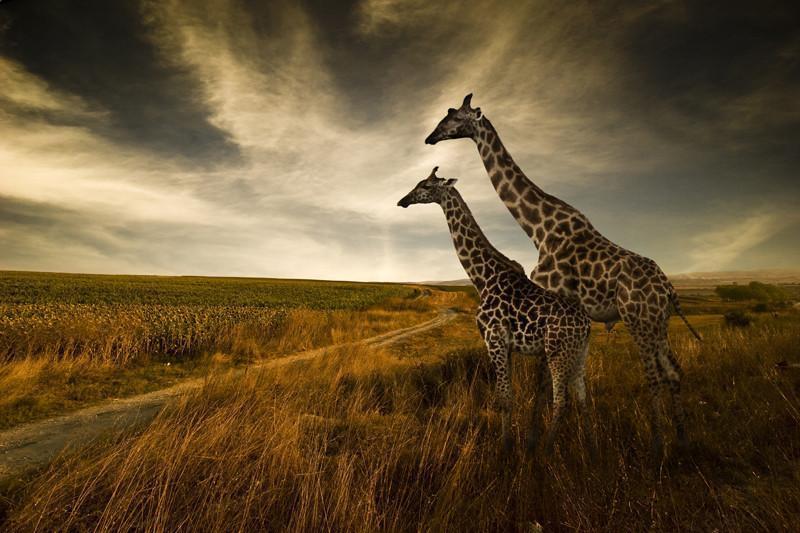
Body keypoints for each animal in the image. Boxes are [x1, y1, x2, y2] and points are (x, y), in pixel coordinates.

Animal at [397, 167, 594, 455]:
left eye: (425, 185)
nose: (403, 201)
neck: (482, 277)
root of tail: (586, 325)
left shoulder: (494, 339)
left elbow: (504, 398)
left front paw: (505, 448)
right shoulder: (506, 345)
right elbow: (506, 395)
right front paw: (508, 443)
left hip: (558, 352)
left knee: (561, 401)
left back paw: (546, 449)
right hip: (578, 354)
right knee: (581, 399)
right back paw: (587, 446)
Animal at [424, 94, 702, 455]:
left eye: (454, 117)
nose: (430, 138)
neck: (537, 227)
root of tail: (669, 290)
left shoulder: (552, 298)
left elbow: (543, 381)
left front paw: (534, 440)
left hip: (638, 319)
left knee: (653, 375)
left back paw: (657, 444)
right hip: (657, 322)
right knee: (673, 371)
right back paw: (681, 440)